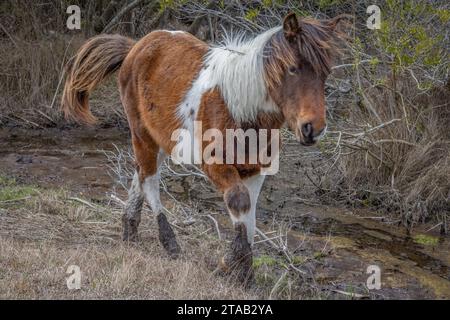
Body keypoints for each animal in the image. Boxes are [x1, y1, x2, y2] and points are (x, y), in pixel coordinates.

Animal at [60, 12, 348, 282]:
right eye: (292, 68)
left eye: (326, 73)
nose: (313, 129)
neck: (240, 109)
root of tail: (136, 46)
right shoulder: (216, 165)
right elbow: (239, 202)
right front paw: (232, 268)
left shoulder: (255, 170)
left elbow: (250, 217)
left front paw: (243, 274)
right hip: (141, 133)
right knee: (149, 180)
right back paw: (170, 243)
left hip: (161, 138)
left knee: (139, 174)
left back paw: (130, 231)